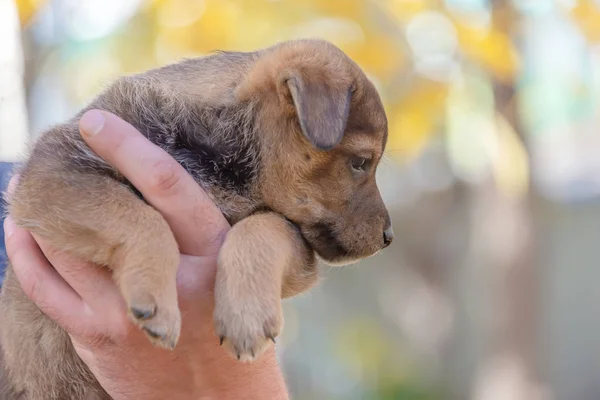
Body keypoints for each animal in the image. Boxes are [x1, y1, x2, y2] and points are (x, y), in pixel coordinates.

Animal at [0, 38, 392, 400]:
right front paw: (154, 294)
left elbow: (264, 227)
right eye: (360, 162)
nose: (389, 237)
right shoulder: (56, 172)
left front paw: (246, 314)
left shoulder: (296, 248)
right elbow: (140, 218)